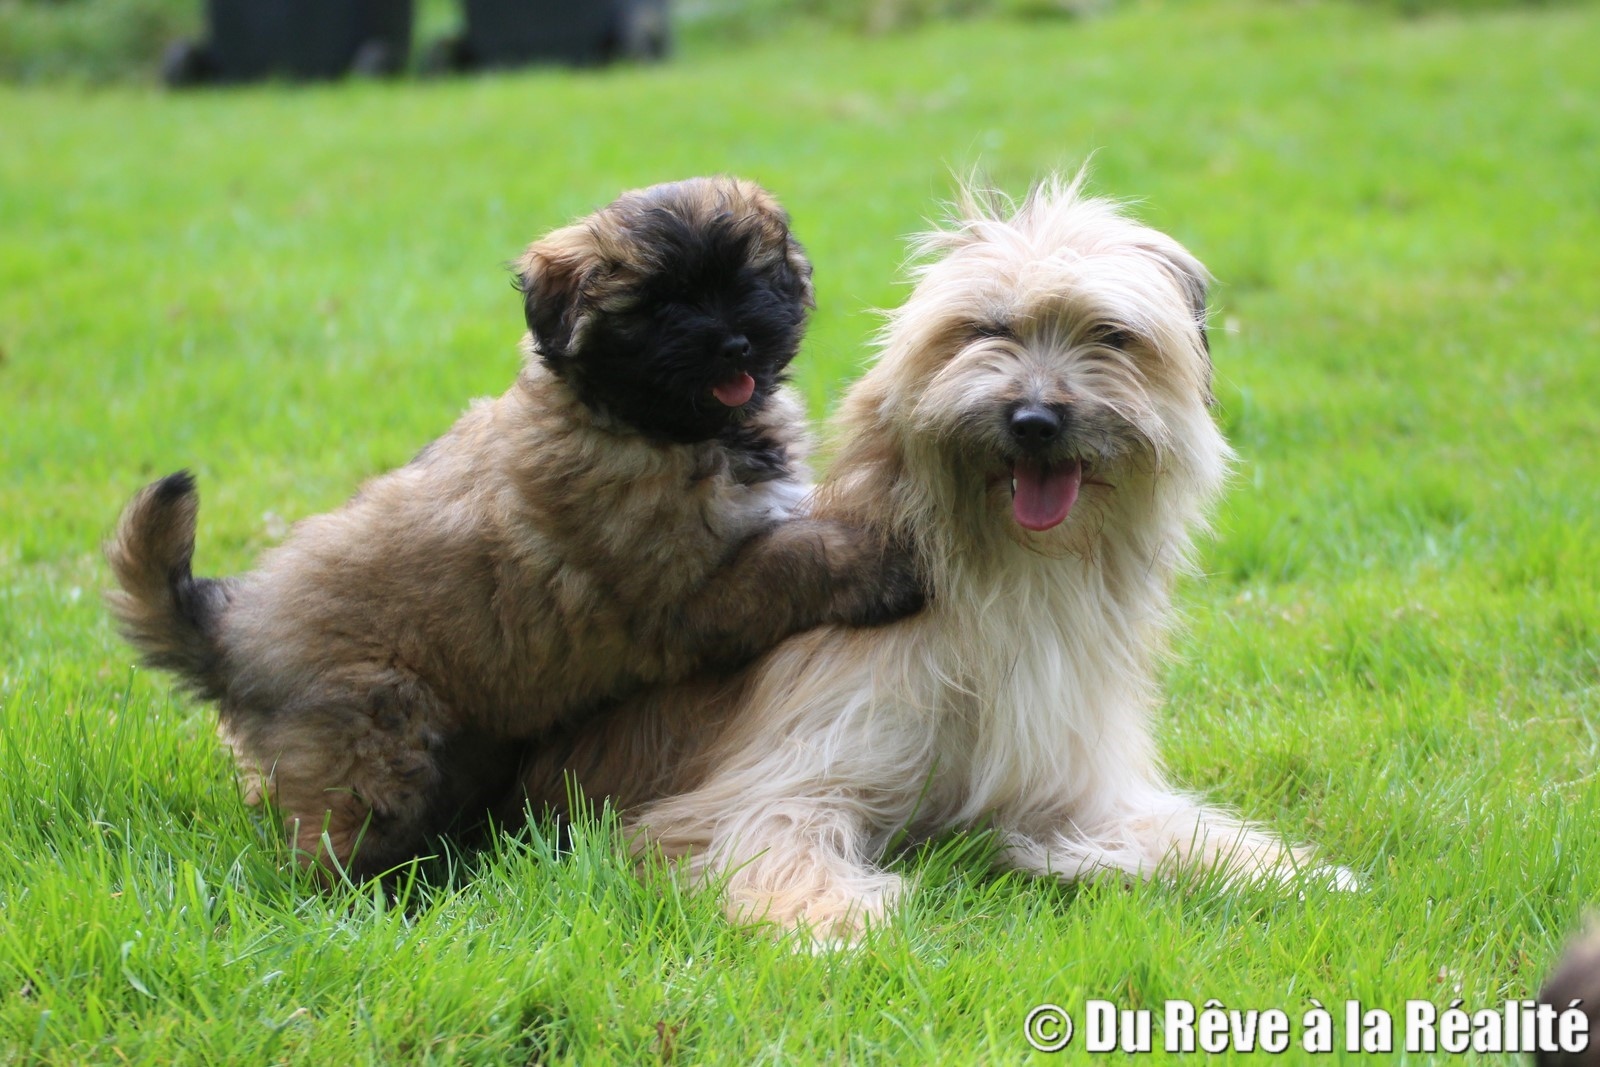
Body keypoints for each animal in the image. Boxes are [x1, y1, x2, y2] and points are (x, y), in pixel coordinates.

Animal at [106, 176, 923, 880]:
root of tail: (232, 631)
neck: (650, 424)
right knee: (332, 850)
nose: (734, 343)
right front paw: (882, 565)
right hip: (376, 732)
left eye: (749, 280)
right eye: (659, 306)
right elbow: (794, 556)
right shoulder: (686, 598)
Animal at [518, 173, 1349, 939]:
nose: (1036, 420)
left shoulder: (1066, 782)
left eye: (1111, 335)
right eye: (988, 329)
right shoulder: (778, 772)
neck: (1005, 575)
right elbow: (771, 831)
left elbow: (1157, 826)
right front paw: (833, 917)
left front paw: (1274, 868)